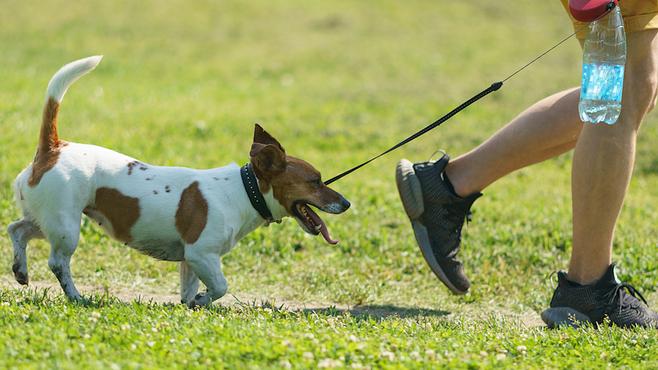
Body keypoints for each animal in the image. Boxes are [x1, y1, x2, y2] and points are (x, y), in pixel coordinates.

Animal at [7, 57, 352, 306]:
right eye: (316, 181)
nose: (347, 203)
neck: (245, 191)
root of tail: (54, 147)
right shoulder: (202, 254)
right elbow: (221, 286)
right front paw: (202, 300)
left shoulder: (191, 260)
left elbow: (190, 291)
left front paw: (193, 303)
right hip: (67, 227)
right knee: (57, 262)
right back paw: (76, 296)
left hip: (48, 219)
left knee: (17, 229)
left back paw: (21, 271)